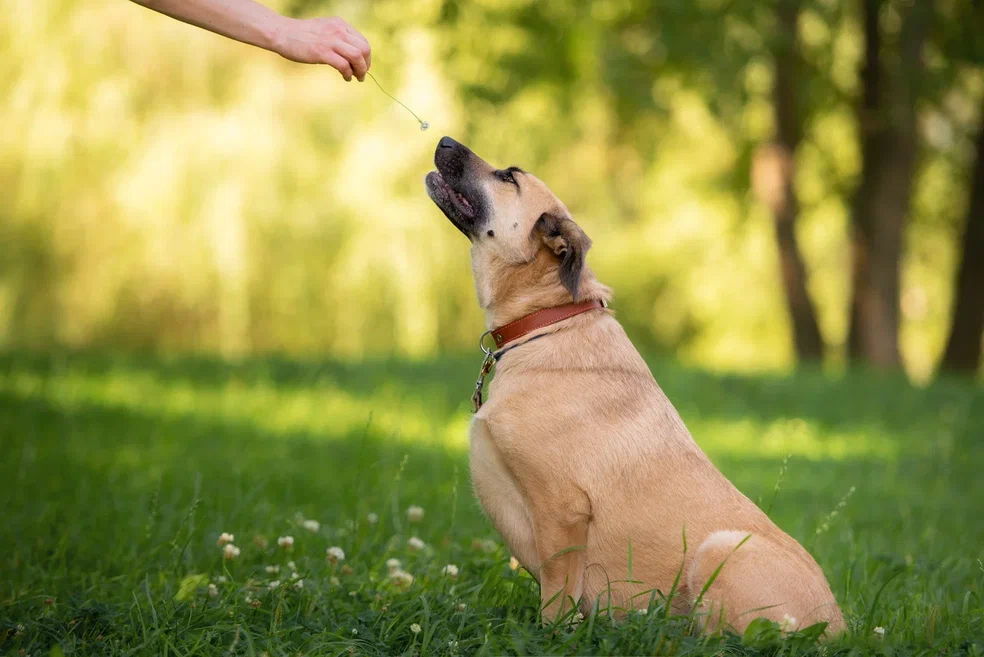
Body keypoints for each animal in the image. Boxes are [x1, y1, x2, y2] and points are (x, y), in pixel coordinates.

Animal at [422, 136, 844, 632]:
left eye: (508, 176)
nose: (444, 140)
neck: (549, 320)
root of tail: (840, 629)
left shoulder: (563, 511)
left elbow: (557, 603)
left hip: (718, 550)